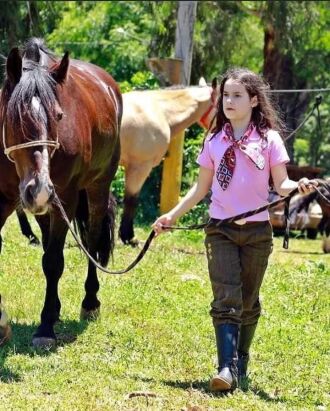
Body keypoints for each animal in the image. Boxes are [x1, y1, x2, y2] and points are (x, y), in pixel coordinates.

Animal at [0, 37, 122, 348]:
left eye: (57, 116)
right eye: (14, 117)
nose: (40, 189)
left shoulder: (64, 198)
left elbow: (54, 262)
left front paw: (44, 328)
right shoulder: (2, 199)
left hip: (96, 188)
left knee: (91, 239)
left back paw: (90, 302)